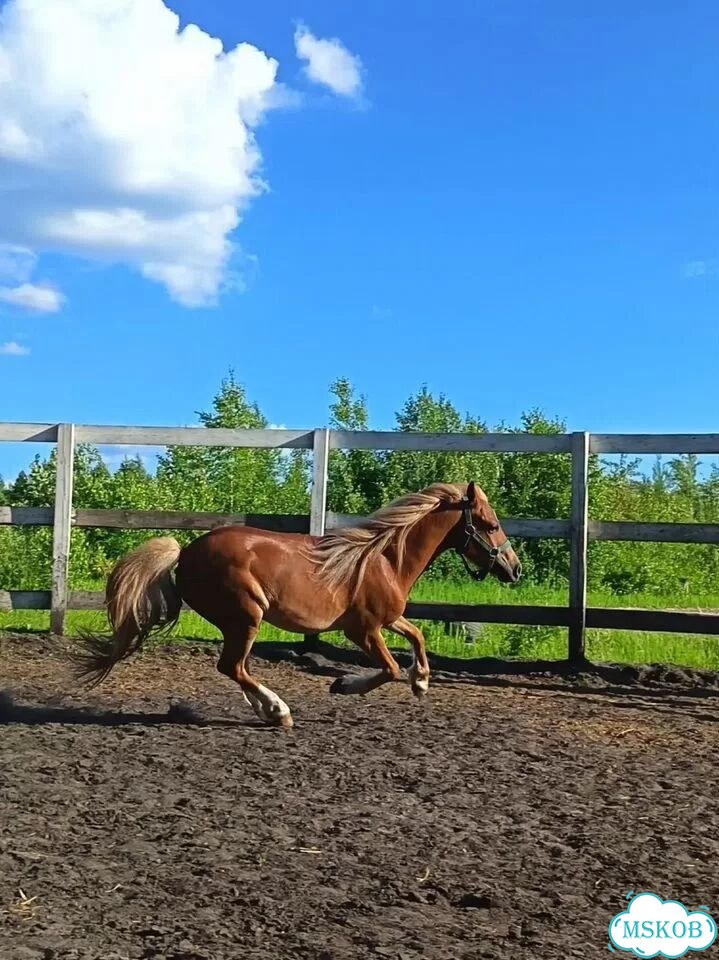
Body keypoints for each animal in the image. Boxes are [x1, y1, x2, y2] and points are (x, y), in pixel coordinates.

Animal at [76, 481, 521, 727]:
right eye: (491, 525)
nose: (514, 569)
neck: (383, 559)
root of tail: (184, 552)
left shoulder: (388, 618)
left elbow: (417, 636)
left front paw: (423, 682)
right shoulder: (362, 629)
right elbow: (390, 668)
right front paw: (343, 684)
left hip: (240, 622)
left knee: (239, 668)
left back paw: (267, 710)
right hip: (246, 616)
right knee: (232, 667)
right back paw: (279, 711)